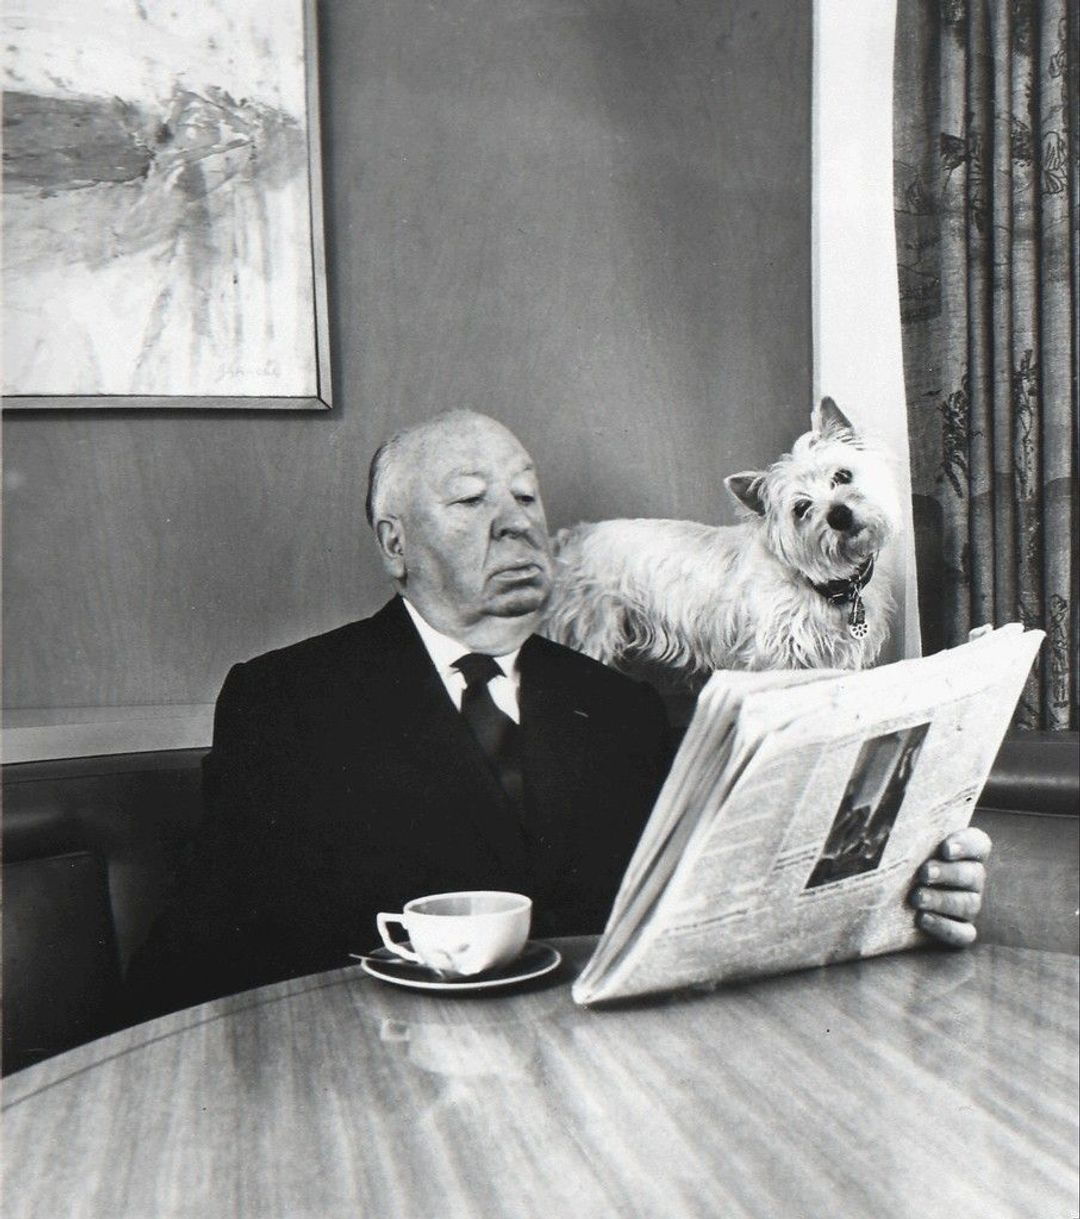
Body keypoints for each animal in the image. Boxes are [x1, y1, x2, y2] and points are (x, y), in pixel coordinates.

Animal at [541, 404, 906, 682]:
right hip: (589, 632)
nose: (839, 515)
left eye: (842, 476)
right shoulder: (776, 658)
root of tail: (572, 536)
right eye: (801, 508)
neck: (826, 586)